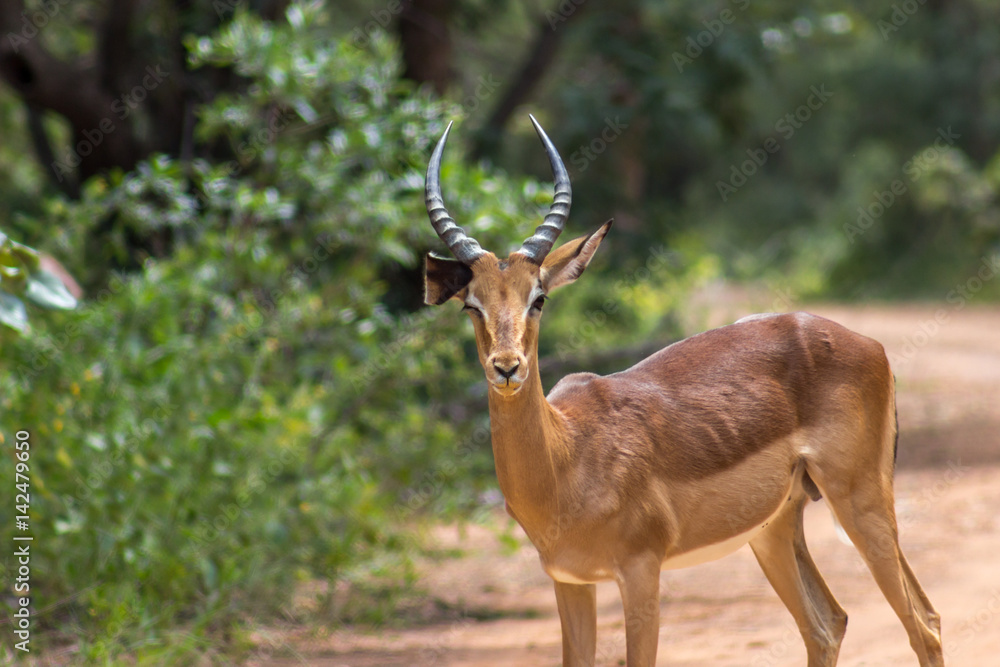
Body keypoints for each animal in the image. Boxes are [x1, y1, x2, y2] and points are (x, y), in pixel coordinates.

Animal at [421, 116, 944, 666]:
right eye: (470, 304)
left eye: (538, 298)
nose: (507, 367)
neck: (569, 456)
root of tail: (871, 345)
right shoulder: (570, 582)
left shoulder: (640, 572)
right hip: (775, 527)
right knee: (827, 623)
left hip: (861, 500)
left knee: (923, 622)